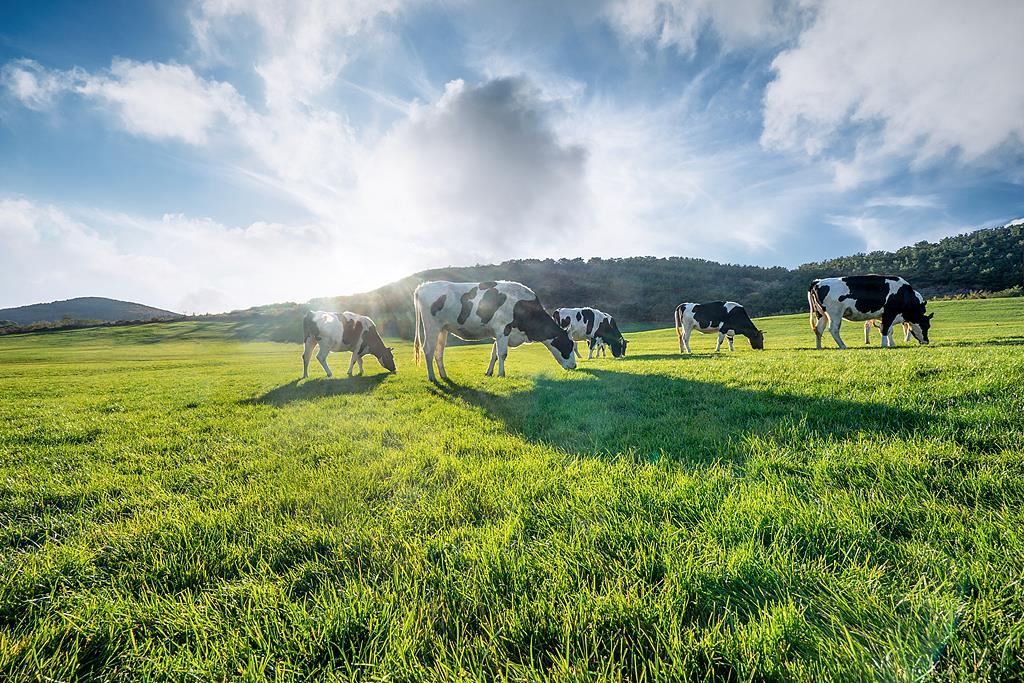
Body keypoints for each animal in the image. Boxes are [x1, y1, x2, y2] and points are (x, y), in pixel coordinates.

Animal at [413, 280, 577, 382]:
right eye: (569, 346)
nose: (575, 366)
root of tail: (423, 286)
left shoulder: (499, 333)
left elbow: (494, 354)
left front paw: (489, 372)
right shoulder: (503, 329)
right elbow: (502, 354)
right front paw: (501, 374)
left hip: (443, 329)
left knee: (438, 352)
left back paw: (444, 375)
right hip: (431, 326)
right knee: (428, 350)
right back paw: (432, 377)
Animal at [806, 274, 937, 350]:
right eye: (927, 325)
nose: (926, 341)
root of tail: (818, 281)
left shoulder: (884, 316)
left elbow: (888, 330)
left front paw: (890, 343)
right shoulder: (889, 313)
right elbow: (885, 329)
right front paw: (884, 345)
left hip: (821, 314)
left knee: (818, 330)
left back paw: (819, 347)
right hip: (835, 313)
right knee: (833, 329)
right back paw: (843, 346)